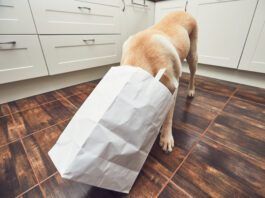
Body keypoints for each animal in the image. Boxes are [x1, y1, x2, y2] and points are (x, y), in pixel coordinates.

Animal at [120, 10, 197, 152]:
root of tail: (183, 11)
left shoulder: (171, 87)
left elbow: (168, 116)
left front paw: (166, 137)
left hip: (192, 55)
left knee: (193, 74)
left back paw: (191, 91)